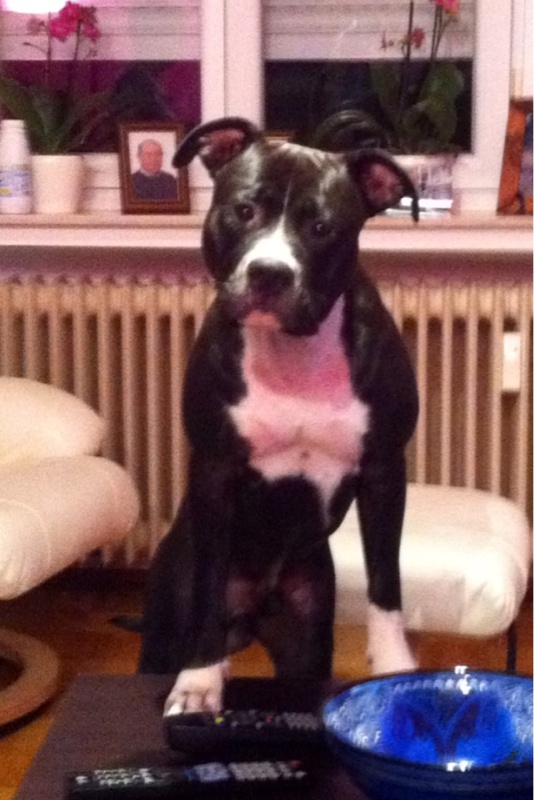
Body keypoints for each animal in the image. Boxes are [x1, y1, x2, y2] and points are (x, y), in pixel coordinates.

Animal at [139, 117, 419, 715]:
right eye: (245, 210)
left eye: (321, 227)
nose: (269, 272)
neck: (293, 353)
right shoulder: (215, 468)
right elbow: (208, 585)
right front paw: (199, 681)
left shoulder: (385, 470)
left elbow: (386, 580)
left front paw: (394, 666)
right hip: (162, 631)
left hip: (305, 631)